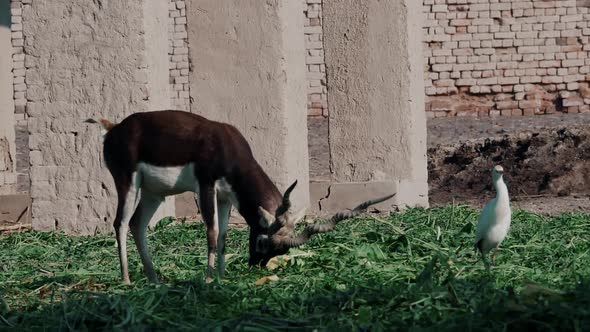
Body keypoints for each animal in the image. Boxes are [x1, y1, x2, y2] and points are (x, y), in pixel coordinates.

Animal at [85, 111, 396, 282]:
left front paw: (222, 277)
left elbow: (223, 235)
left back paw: (154, 279)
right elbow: (211, 232)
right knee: (120, 223)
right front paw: (208, 279)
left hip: (154, 193)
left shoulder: (225, 196)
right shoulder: (206, 185)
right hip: (128, 183)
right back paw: (126, 280)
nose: (255, 265)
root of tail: (112, 128)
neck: (227, 147)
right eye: (262, 242)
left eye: (280, 252)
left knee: (137, 224)